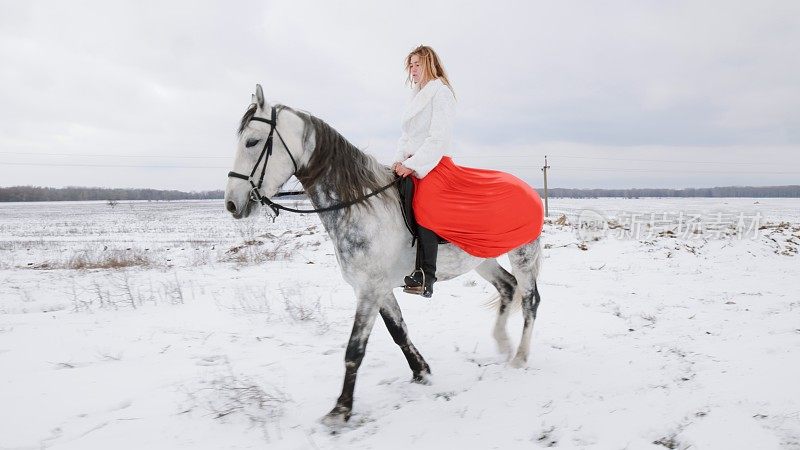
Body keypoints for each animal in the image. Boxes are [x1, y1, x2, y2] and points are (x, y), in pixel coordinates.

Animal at [225, 84, 544, 426]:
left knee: (529, 300)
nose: (231, 204)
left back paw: (520, 358)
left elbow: (354, 350)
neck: (360, 205)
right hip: (482, 259)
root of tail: (529, 189)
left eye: (252, 141)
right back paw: (502, 343)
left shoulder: (370, 289)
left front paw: (341, 409)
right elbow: (399, 331)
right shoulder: (376, 288)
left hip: (523, 254)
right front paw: (421, 372)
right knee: (508, 287)